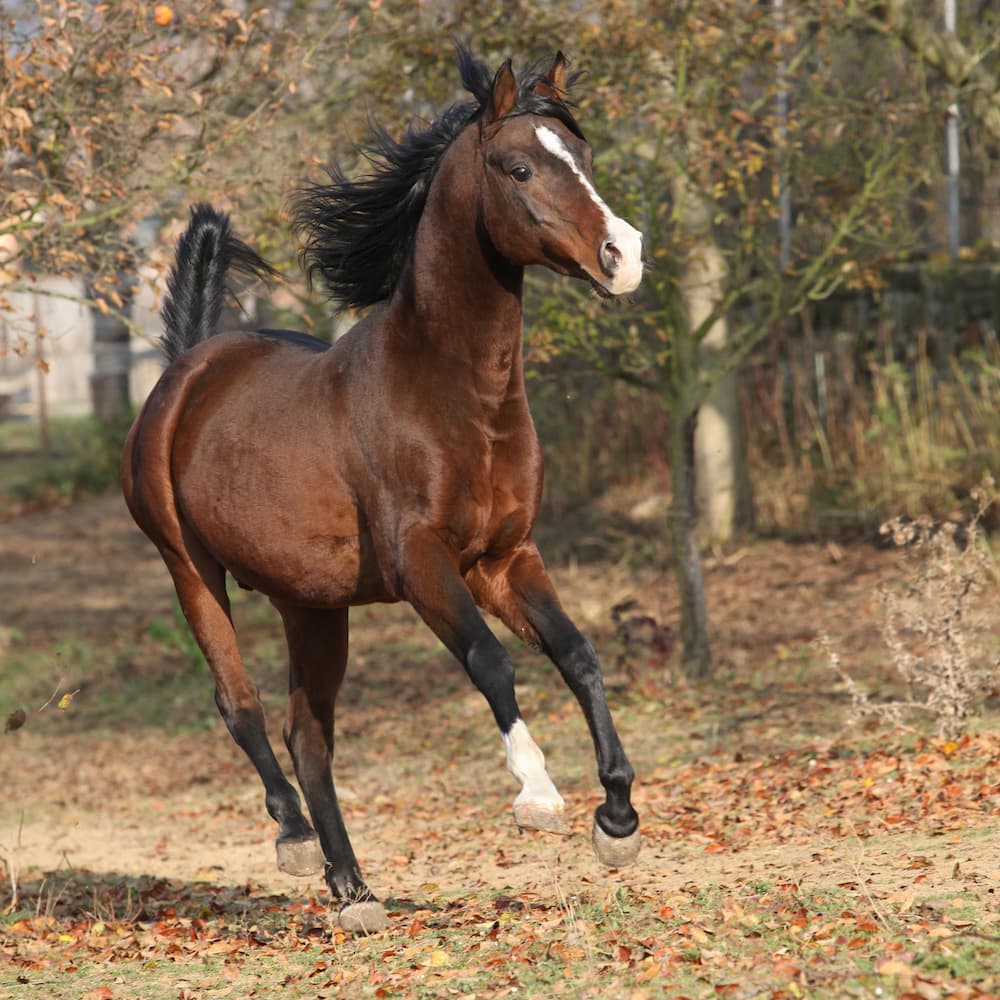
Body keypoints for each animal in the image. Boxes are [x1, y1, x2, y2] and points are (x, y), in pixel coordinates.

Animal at [122, 48, 643, 933]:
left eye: (584, 156)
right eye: (519, 166)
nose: (624, 254)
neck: (451, 394)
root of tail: (186, 368)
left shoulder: (505, 558)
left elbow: (577, 653)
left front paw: (617, 820)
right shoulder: (421, 562)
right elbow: (490, 660)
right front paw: (540, 797)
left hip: (312, 605)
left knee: (308, 734)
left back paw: (355, 892)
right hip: (190, 572)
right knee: (242, 707)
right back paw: (298, 842)